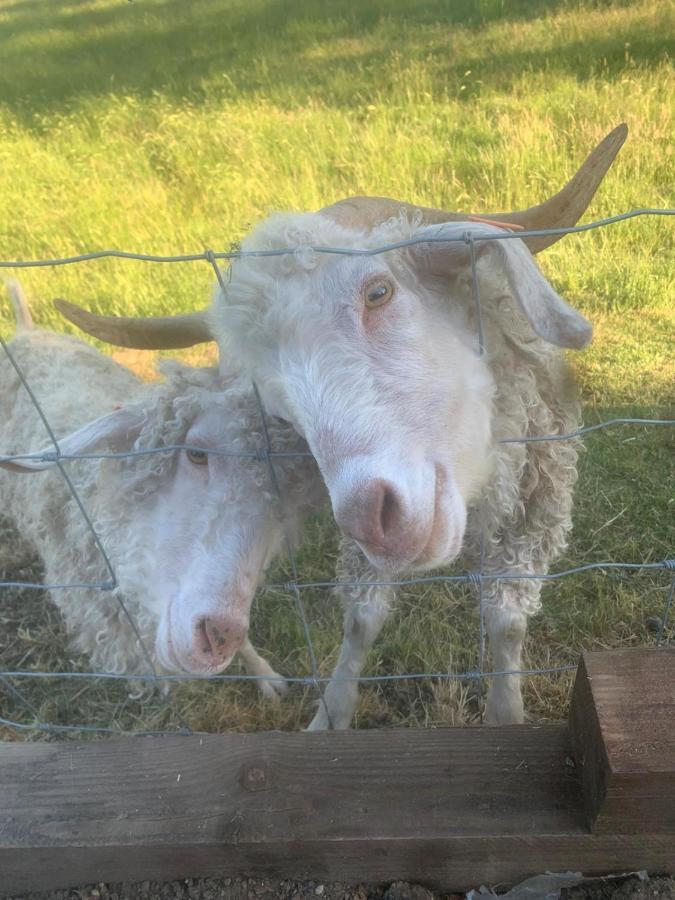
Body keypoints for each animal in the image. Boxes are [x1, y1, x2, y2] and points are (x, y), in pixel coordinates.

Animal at [56, 125, 628, 724]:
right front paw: (330, 714)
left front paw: (505, 711)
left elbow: (507, 621)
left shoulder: (534, 509)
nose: (376, 521)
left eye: (379, 291)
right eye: (276, 404)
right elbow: (361, 620)